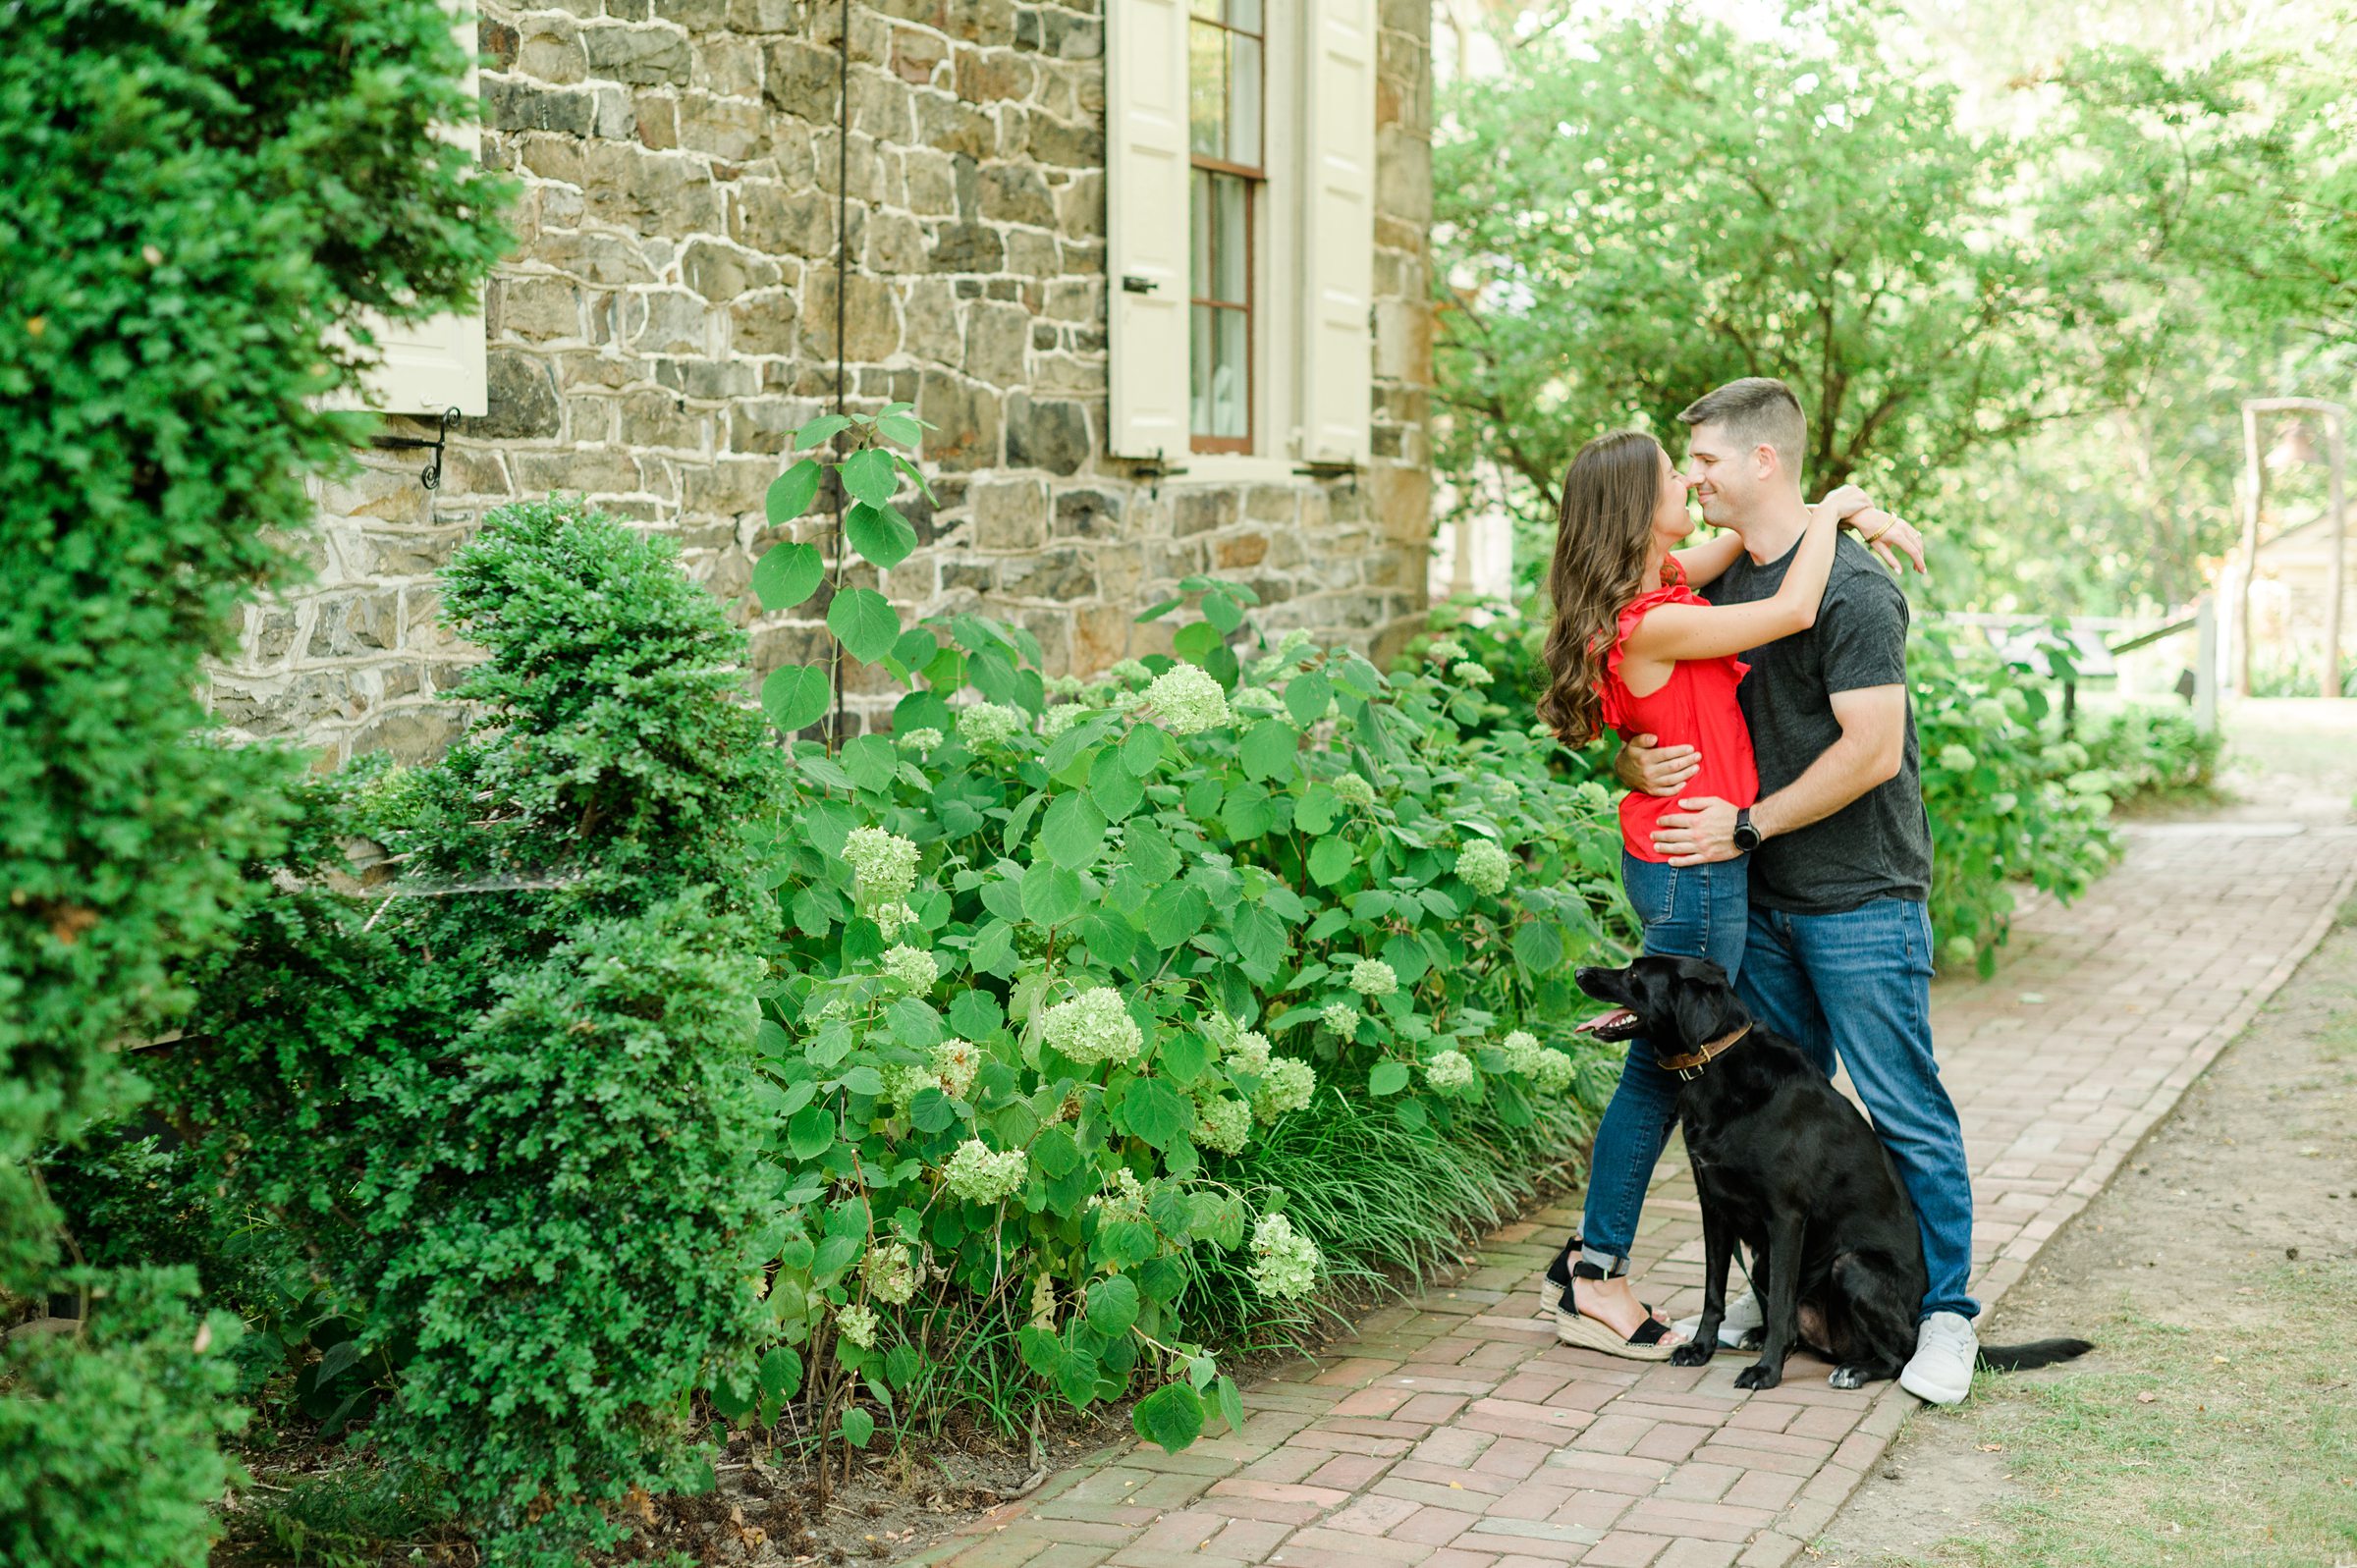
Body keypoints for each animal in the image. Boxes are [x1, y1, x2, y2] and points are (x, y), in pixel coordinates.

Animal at [1574, 947, 2093, 1386]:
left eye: (1635, 974)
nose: (1579, 972)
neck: (1718, 1063)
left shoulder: (1786, 1216)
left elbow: (1779, 1307)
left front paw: (1766, 1373)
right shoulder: (1714, 1208)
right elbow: (1713, 1293)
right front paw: (1702, 1349)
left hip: (1850, 1266)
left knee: (1897, 1354)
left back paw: (1854, 1369)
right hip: (1765, 1262)